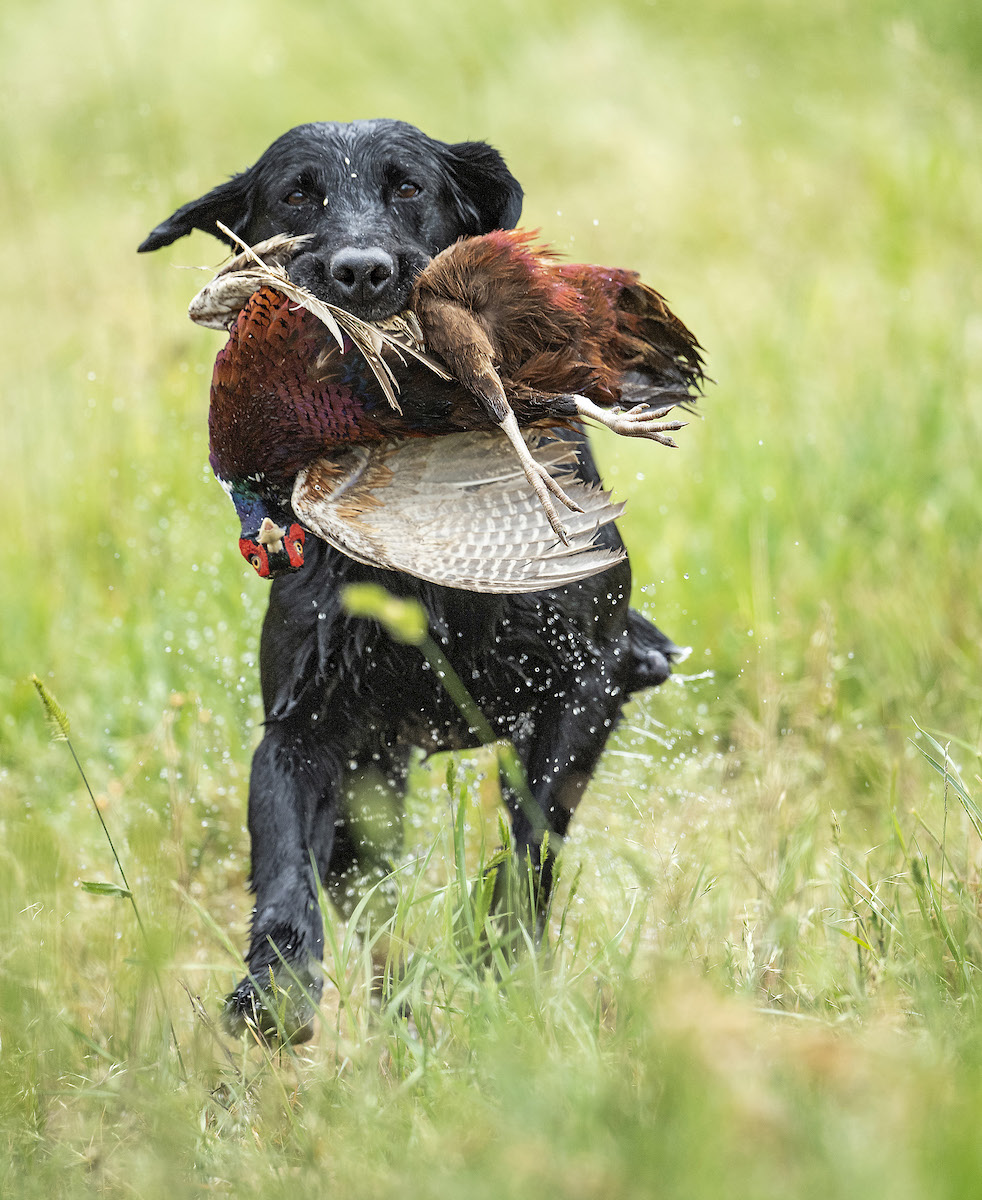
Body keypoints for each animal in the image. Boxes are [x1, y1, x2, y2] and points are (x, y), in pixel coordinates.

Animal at [138, 121, 677, 1041]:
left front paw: (500, 965)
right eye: (297, 194)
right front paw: (276, 982)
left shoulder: (585, 685)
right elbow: (283, 853)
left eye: (410, 188)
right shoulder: (305, 727)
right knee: (368, 898)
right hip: (374, 783)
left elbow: (532, 839)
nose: (360, 272)